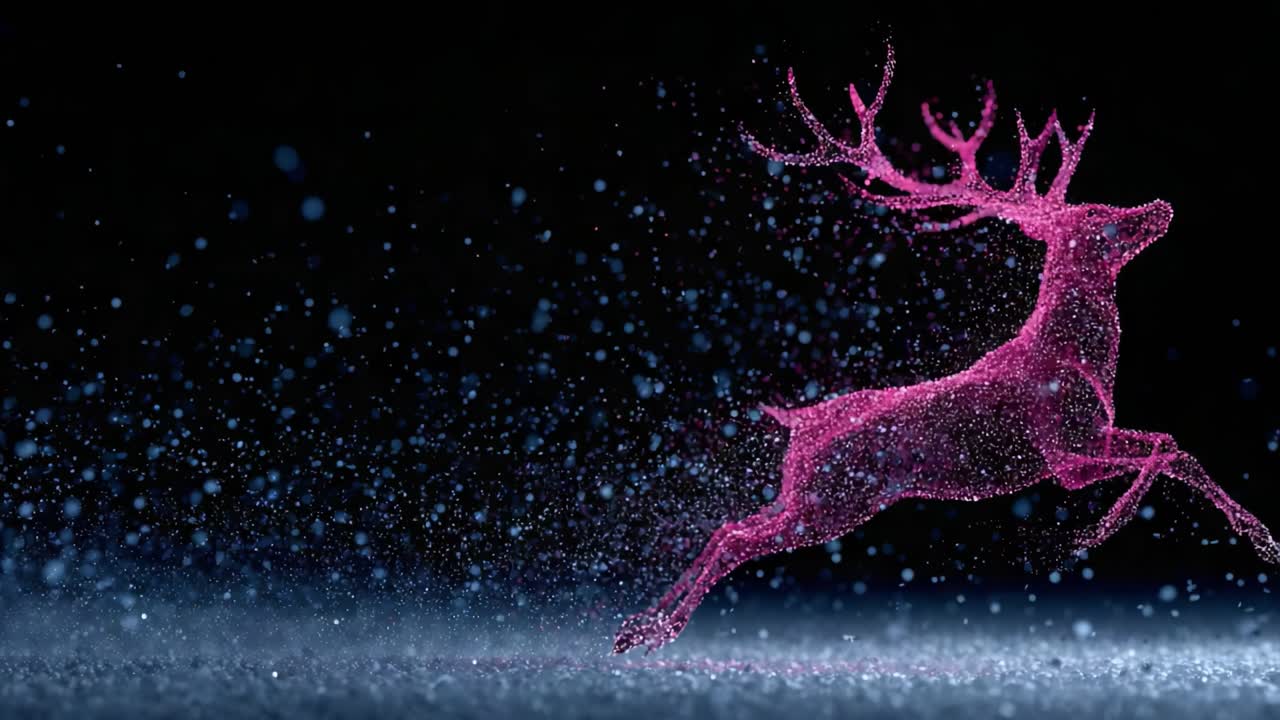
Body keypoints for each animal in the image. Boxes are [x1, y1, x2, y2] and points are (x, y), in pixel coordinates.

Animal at [612, 47, 1280, 654]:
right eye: (1099, 217)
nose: (1160, 206)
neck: (1083, 360)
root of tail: (798, 427)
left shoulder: (1092, 434)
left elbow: (1178, 450)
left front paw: (1262, 537)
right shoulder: (1062, 450)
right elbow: (1163, 451)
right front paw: (1097, 531)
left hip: (807, 492)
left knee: (729, 525)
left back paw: (637, 625)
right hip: (834, 497)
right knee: (737, 538)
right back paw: (655, 631)